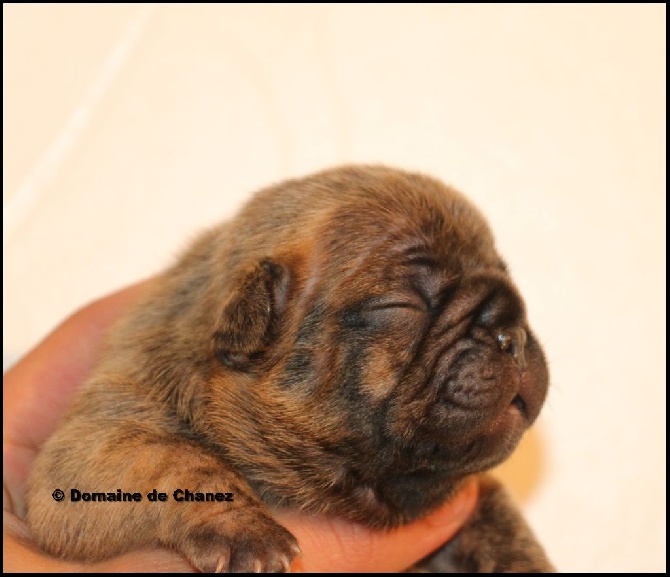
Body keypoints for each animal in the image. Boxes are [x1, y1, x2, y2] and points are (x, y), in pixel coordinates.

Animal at [26, 165, 552, 572]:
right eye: (402, 306)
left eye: (510, 281)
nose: (512, 332)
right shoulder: (92, 449)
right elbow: (173, 457)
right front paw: (245, 529)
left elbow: (499, 514)